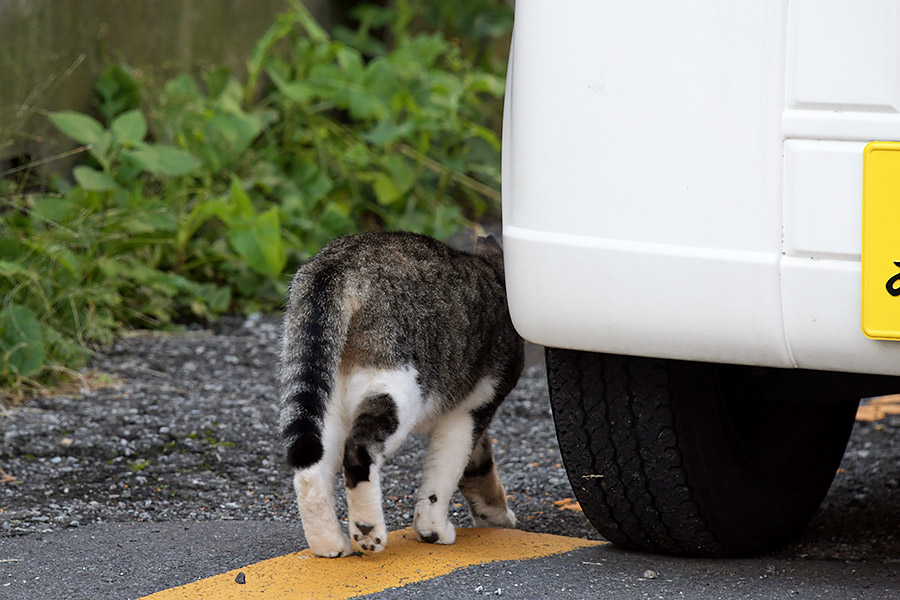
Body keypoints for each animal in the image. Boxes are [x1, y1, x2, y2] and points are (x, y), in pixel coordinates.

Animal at [278, 231, 524, 556]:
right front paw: (432, 530)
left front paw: (494, 517)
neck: (495, 274)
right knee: (358, 449)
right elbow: (445, 472)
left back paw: (330, 543)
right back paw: (368, 531)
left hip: (326, 398)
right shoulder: (471, 408)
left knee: (310, 470)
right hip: (397, 385)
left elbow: (476, 466)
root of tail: (336, 264)